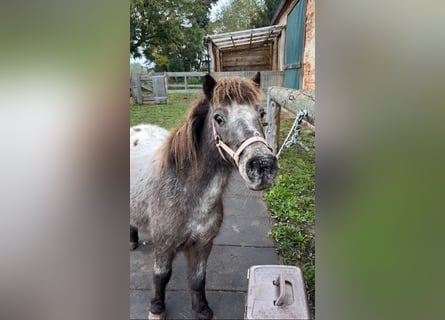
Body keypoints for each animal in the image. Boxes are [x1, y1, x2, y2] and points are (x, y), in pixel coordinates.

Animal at [129, 74, 278, 318]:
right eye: (218, 118)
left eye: (261, 113)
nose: (263, 166)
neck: (187, 193)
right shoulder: (164, 245)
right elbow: (161, 276)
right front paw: (157, 308)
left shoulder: (203, 244)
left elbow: (198, 279)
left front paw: (202, 309)